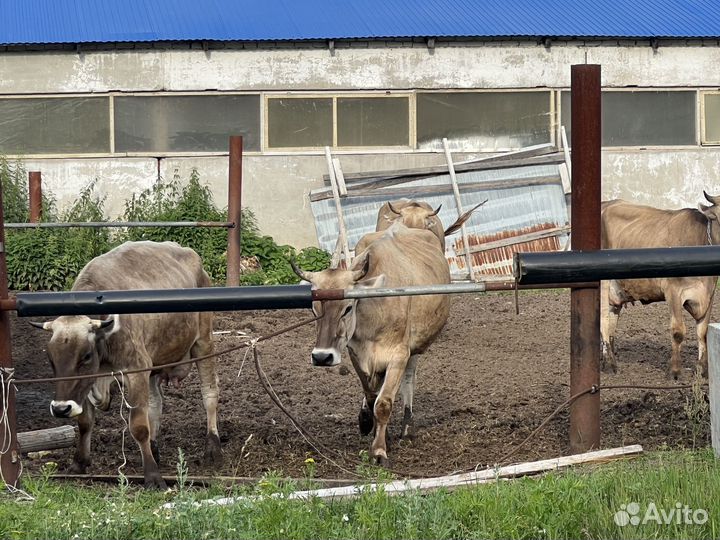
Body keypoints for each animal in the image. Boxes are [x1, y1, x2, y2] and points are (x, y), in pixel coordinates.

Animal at [31, 241, 221, 488]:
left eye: (86, 356)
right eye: (51, 358)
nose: (61, 409)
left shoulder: (135, 371)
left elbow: (138, 427)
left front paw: (152, 475)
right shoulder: (93, 381)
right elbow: (85, 422)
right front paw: (79, 463)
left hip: (204, 342)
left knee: (209, 394)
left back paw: (213, 446)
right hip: (155, 361)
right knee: (156, 403)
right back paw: (154, 449)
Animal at [293, 222, 451, 466]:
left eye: (348, 307)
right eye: (313, 309)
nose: (321, 356)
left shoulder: (399, 354)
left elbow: (383, 403)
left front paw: (378, 451)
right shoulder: (355, 353)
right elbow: (370, 394)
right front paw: (369, 423)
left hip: (415, 348)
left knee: (408, 380)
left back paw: (407, 426)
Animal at [600, 192, 720, 379]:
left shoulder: (709, 294)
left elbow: (703, 332)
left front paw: (702, 370)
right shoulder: (673, 291)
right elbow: (678, 331)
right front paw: (674, 371)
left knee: (611, 324)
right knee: (604, 321)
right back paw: (610, 364)